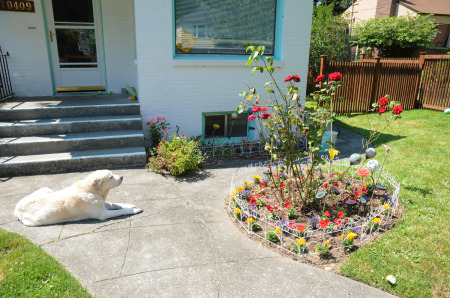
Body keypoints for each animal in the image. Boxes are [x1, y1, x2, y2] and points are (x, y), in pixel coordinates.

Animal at [13, 170, 142, 226]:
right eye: (110, 177)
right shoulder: (103, 214)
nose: (122, 176)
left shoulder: (101, 203)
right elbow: (120, 211)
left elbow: (115, 204)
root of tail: (16, 210)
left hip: (46, 189)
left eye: (113, 174)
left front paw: (129, 205)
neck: (89, 190)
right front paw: (134, 210)